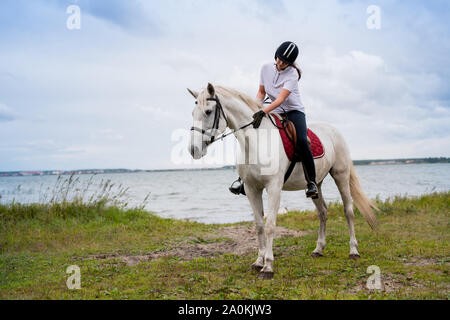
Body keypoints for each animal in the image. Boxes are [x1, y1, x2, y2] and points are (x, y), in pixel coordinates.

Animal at [186, 83, 376, 280]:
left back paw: (353, 251)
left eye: (208, 111)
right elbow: (259, 225)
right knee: (322, 211)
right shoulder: (252, 188)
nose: (193, 150)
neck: (256, 141)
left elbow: (270, 225)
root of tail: (333, 130)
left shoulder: (273, 187)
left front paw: (268, 266)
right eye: (193, 113)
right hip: (317, 183)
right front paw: (258, 261)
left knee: (348, 211)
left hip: (341, 175)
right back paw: (318, 249)